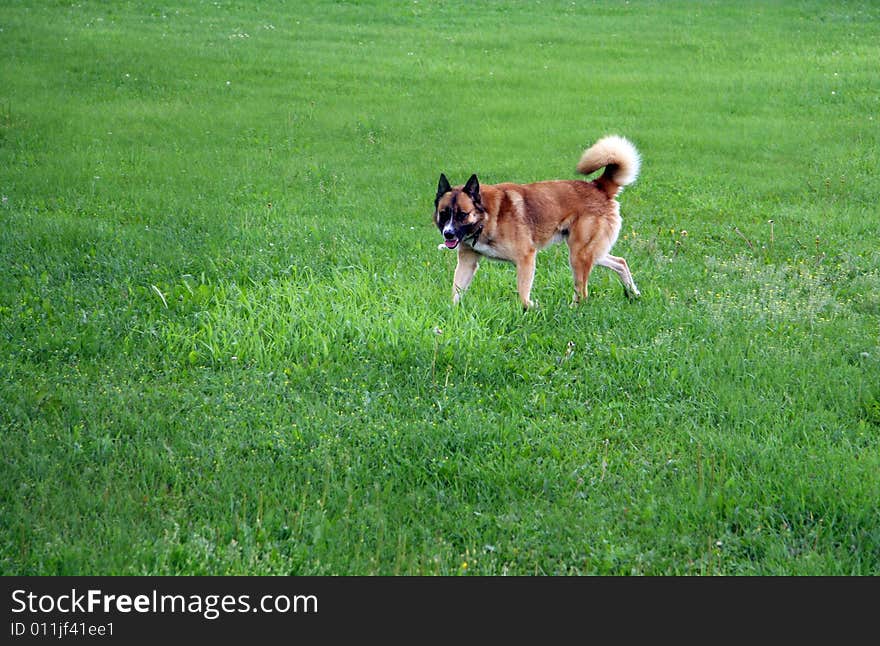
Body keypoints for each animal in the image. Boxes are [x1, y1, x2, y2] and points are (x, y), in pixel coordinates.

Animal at [434, 134, 640, 308]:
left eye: (462, 214)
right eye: (444, 214)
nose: (448, 234)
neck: (486, 217)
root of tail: (598, 186)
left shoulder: (526, 257)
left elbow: (523, 294)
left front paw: (530, 309)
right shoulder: (467, 262)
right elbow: (456, 291)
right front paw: (451, 314)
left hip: (579, 255)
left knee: (582, 292)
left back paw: (573, 310)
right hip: (589, 252)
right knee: (620, 262)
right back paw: (633, 294)